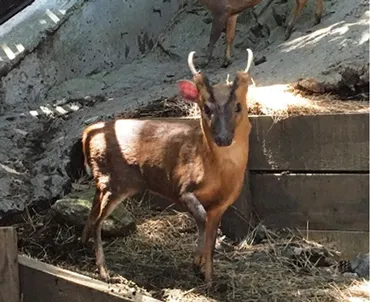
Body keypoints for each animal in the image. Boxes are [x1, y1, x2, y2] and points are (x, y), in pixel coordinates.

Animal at [80, 47, 254, 284]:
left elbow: (212, 238)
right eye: (206, 108)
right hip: (113, 181)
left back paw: (81, 244)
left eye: (238, 106)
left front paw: (208, 278)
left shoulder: (222, 204)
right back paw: (104, 271)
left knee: (91, 213)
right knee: (99, 222)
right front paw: (196, 263)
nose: (223, 138)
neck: (216, 173)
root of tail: (88, 131)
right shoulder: (182, 185)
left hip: (105, 182)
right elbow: (201, 219)